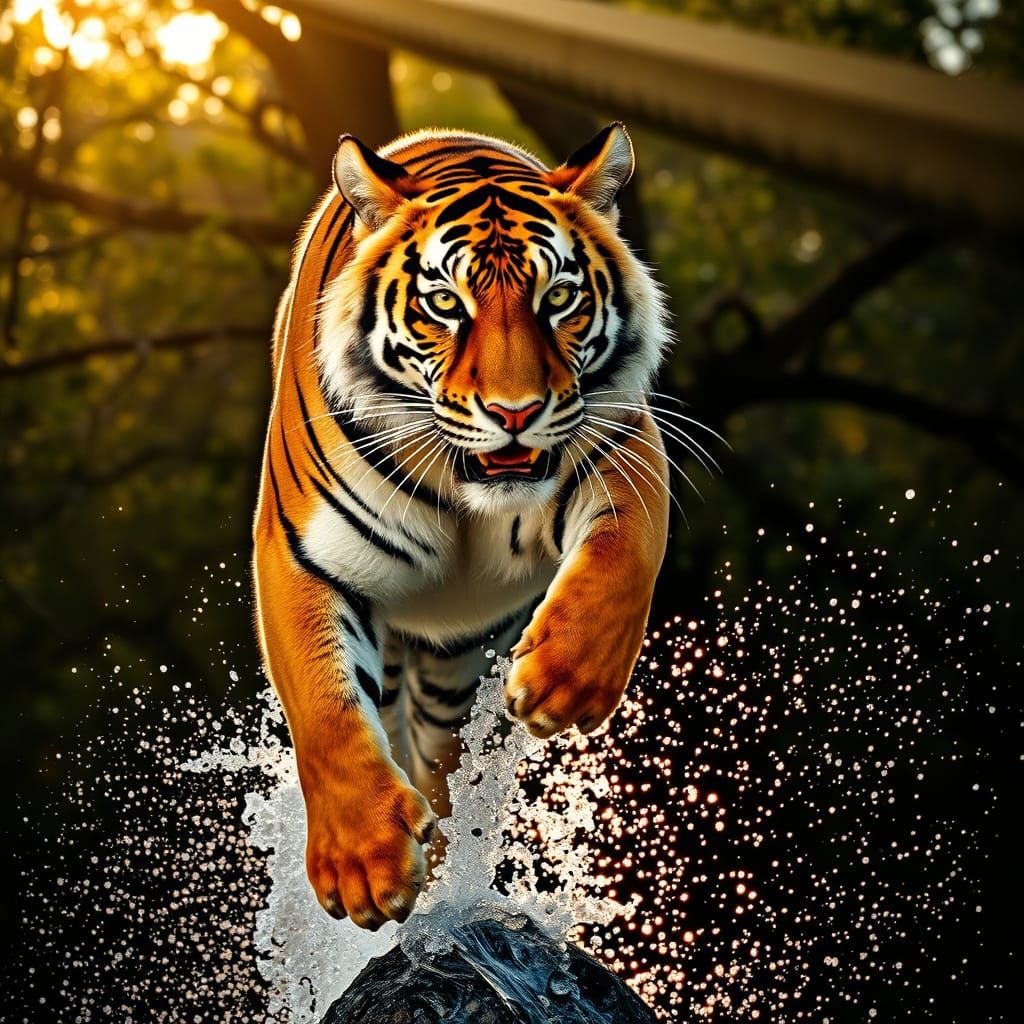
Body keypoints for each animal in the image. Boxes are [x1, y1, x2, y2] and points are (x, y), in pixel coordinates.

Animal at [252, 122, 672, 930]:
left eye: (559, 297)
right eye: (445, 303)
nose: (515, 411)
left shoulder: (622, 449)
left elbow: (622, 556)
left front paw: (563, 681)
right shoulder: (300, 552)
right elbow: (325, 711)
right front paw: (364, 864)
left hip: (455, 669)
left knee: (441, 764)